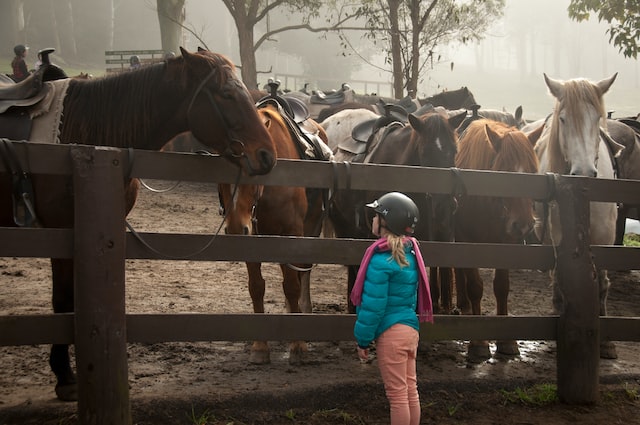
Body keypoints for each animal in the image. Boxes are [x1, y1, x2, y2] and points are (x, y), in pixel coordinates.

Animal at [0, 48, 276, 400]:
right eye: (226, 94)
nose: (267, 155)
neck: (85, 135)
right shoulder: (61, 232)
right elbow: (62, 301)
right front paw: (64, 376)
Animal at [219, 100, 330, 364]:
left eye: (255, 169)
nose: (236, 228)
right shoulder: (253, 239)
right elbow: (256, 287)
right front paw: (260, 347)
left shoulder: (291, 234)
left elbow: (292, 286)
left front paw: (298, 345)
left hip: (310, 230)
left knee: (302, 274)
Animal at [456, 117, 540, 360]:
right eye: (504, 171)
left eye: (533, 171)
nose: (523, 224)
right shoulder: (466, 241)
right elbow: (475, 286)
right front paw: (478, 343)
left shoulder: (507, 243)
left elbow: (502, 286)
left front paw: (506, 341)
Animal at [532, 73, 624, 358]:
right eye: (563, 119)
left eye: (597, 118)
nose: (583, 171)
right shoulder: (560, 235)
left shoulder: (606, 238)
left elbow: (602, 282)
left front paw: (606, 342)